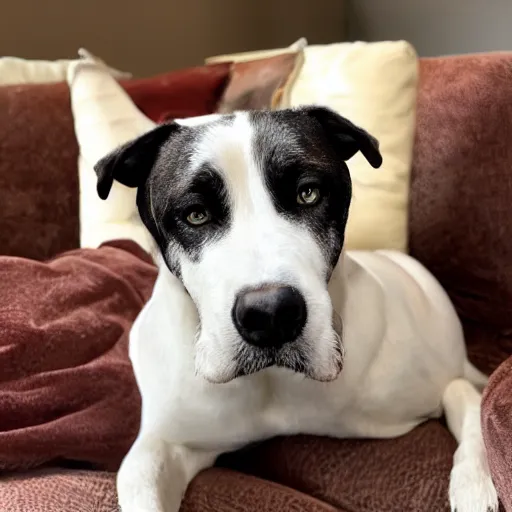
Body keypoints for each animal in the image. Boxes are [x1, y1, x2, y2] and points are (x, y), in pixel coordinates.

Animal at [94, 106, 498, 510]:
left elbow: (470, 404)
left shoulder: (435, 386)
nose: (270, 314)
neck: (274, 382)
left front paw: (474, 483)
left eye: (308, 194)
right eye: (195, 214)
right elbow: (139, 472)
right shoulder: (171, 441)